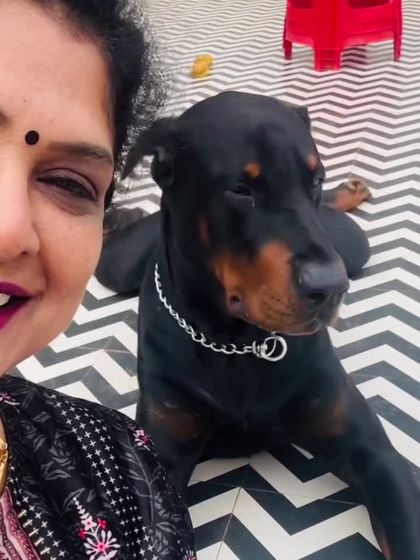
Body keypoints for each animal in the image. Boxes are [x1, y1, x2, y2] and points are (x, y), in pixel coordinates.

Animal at [97, 92, 420, 559]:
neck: (237, 342)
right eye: (240, 190)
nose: (330, 286)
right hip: (117, 267)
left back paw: (347, 192)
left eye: (315, 180)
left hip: (351, 245)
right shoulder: (163, 457)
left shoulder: (375, 457)